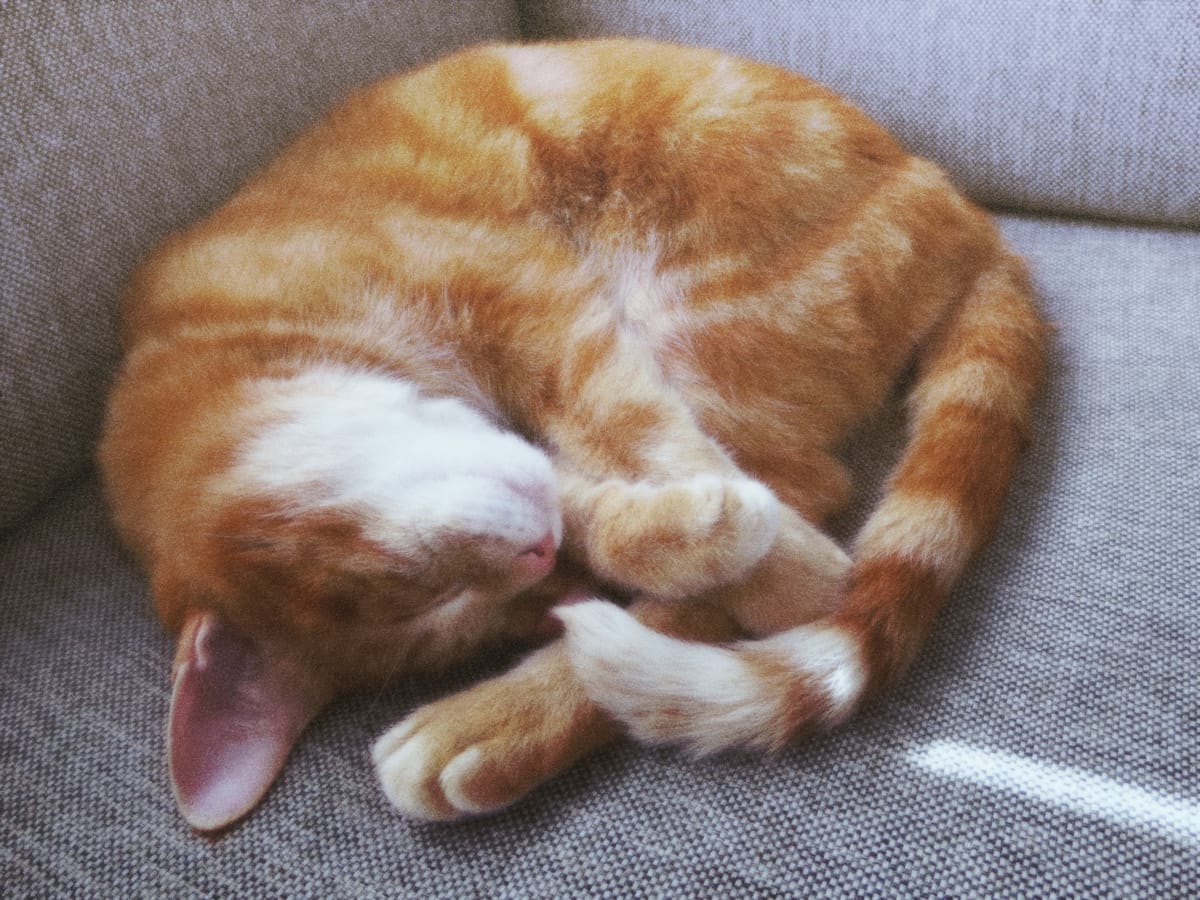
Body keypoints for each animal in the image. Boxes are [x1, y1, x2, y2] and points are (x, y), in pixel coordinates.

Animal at [98, 40, 1046, 830]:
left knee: (800, 483)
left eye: (414, 585)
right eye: (480, 621)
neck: (218, 325)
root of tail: (964, 211)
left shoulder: (531, 299)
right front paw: (681, 542)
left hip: (692, 299)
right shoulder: (532, 457)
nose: (541, 562)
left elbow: (632, 423)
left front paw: (790, 568)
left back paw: (488, 724)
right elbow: (605, 498)